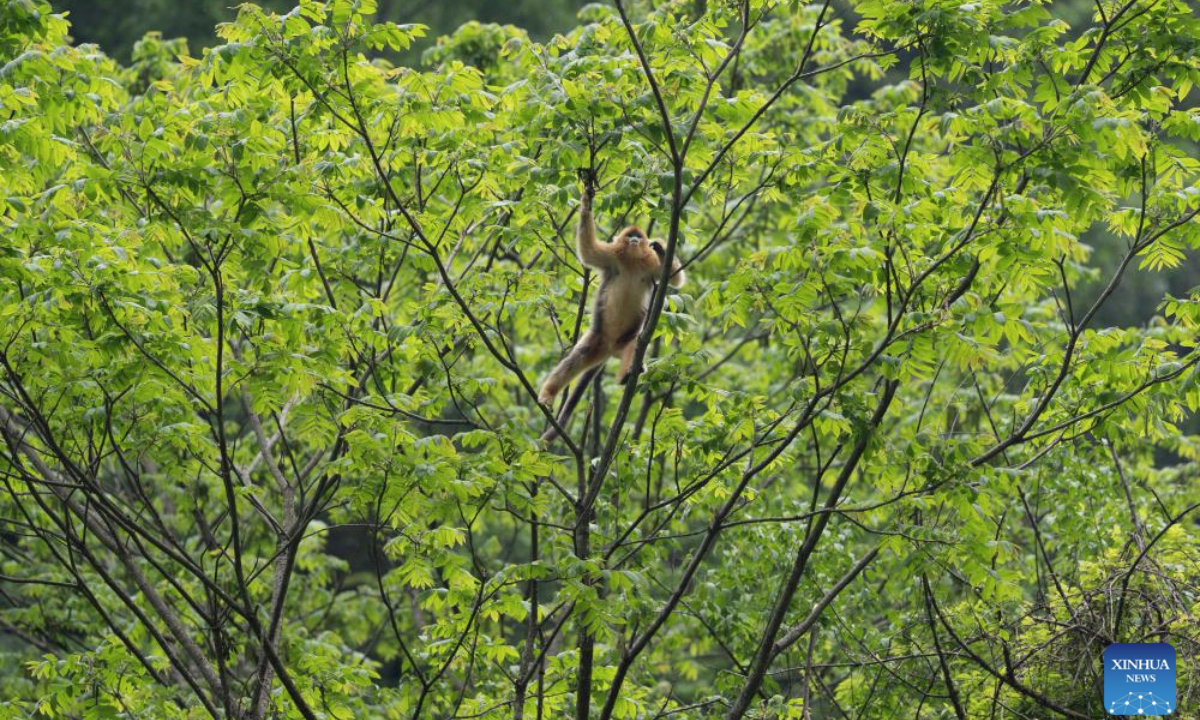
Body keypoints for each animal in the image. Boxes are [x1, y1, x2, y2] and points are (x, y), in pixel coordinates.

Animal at [539, 174, 685, 442]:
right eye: (630, 237)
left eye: (639, 237)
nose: (636, 240)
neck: (632, 262)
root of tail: (608, 348)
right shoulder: (611, 257)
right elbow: (588, 252)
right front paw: (587, 199)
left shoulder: (650, 266)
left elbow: (675, 279)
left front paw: (661, 248)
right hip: (596, 338)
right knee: (577, 358)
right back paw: (548, 394)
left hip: (624, 339)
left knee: (636, 342)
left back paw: (627, 374)